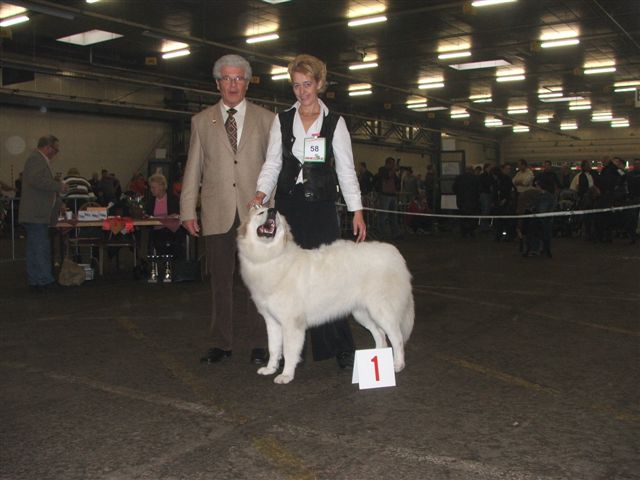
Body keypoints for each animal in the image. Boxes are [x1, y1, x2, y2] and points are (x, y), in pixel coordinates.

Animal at [236, 208, 416, 384]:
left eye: (277, 215)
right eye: (260, 212)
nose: (272, 211)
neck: (271, 256)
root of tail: (395, 253)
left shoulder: (291, 323)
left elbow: (288, 351)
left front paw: (286, 375)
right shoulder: (272, 321)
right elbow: (273, 348)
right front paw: (270, 369)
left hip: (380, 310)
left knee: (396, 337)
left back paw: (397, 365)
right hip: (362, 313)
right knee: (380, 335)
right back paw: (375, 358)